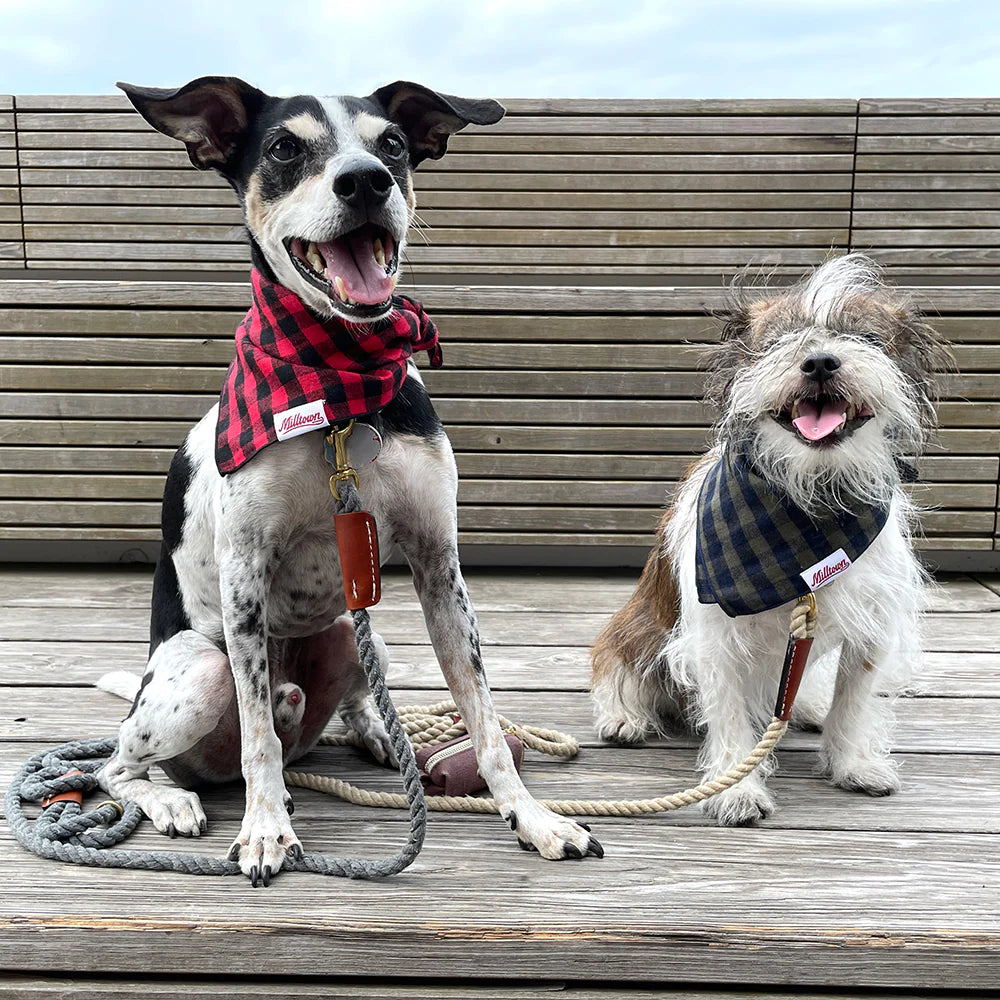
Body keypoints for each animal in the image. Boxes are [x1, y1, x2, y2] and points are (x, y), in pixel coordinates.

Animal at [97, 76, 600, 884]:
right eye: (282, 148)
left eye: (392, 143)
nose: (365, 180)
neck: (340, 383)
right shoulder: (243, 573)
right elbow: (258, 739)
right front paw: (266, 830)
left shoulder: (438, 563)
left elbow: (486, 720)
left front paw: (535, 819)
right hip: (196, 674)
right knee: (127, 762)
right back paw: (173, 799)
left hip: (364, 639)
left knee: (353, 701)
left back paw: (381, 736)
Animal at [588, 256, 948, 828]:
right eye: (780, 341)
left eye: (866, 338)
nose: (820, 361)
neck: (810, 506)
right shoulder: (714, 636)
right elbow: (729, 714)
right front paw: (737, 789)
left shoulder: (872, 625)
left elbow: (854, 700)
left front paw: (852, 764)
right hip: (632, 631)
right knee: (613, 669)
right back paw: (624, 717)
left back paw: (807, 708)